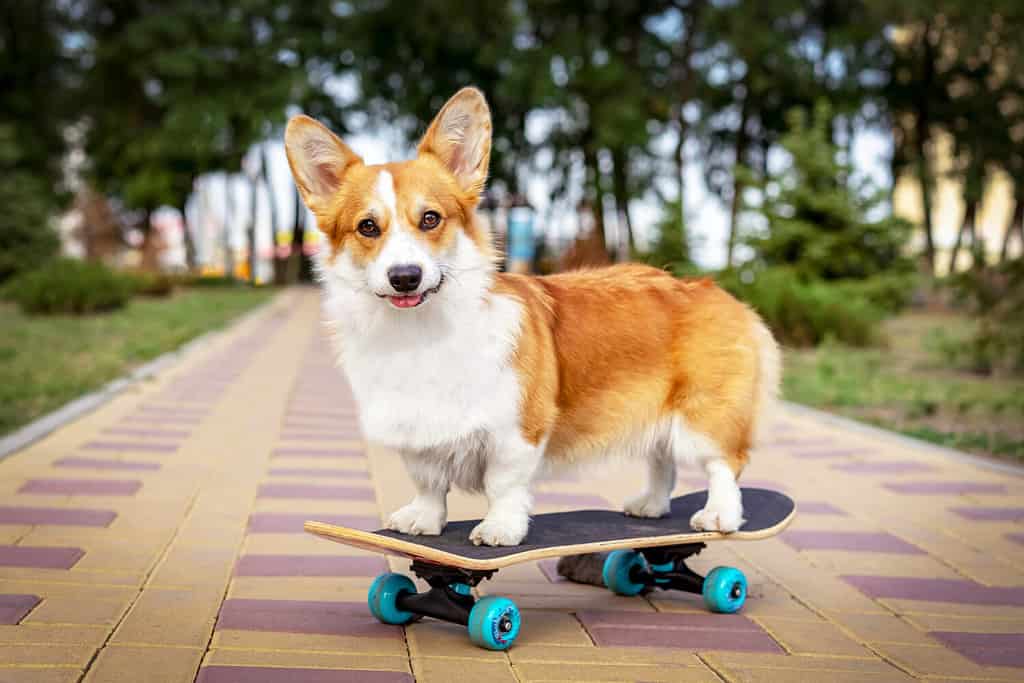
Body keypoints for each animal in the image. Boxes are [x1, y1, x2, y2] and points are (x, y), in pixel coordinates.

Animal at [284, 88, 778, 548]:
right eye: (368, 227)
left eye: (430, 219)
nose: (405, 277)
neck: (420, 334)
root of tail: (720, 293)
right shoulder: (418, 432)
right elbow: (428, 481)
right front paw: (423, 520)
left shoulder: (515, 429)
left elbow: (502, 484)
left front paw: (499, 529)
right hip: (654, 416)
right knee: (662, 461)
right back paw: (651, 506)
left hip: (704, 417)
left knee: (724, 464)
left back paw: (719, 515)